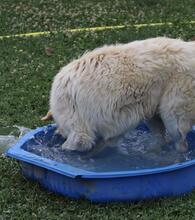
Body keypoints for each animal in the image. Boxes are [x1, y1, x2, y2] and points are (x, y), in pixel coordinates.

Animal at [43, 37, 195, 152]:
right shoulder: (113, 130)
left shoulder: (80, 133)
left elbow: (70, 147)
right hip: (153, 114)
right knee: (162, 139)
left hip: (173, 116)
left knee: (181, 144)